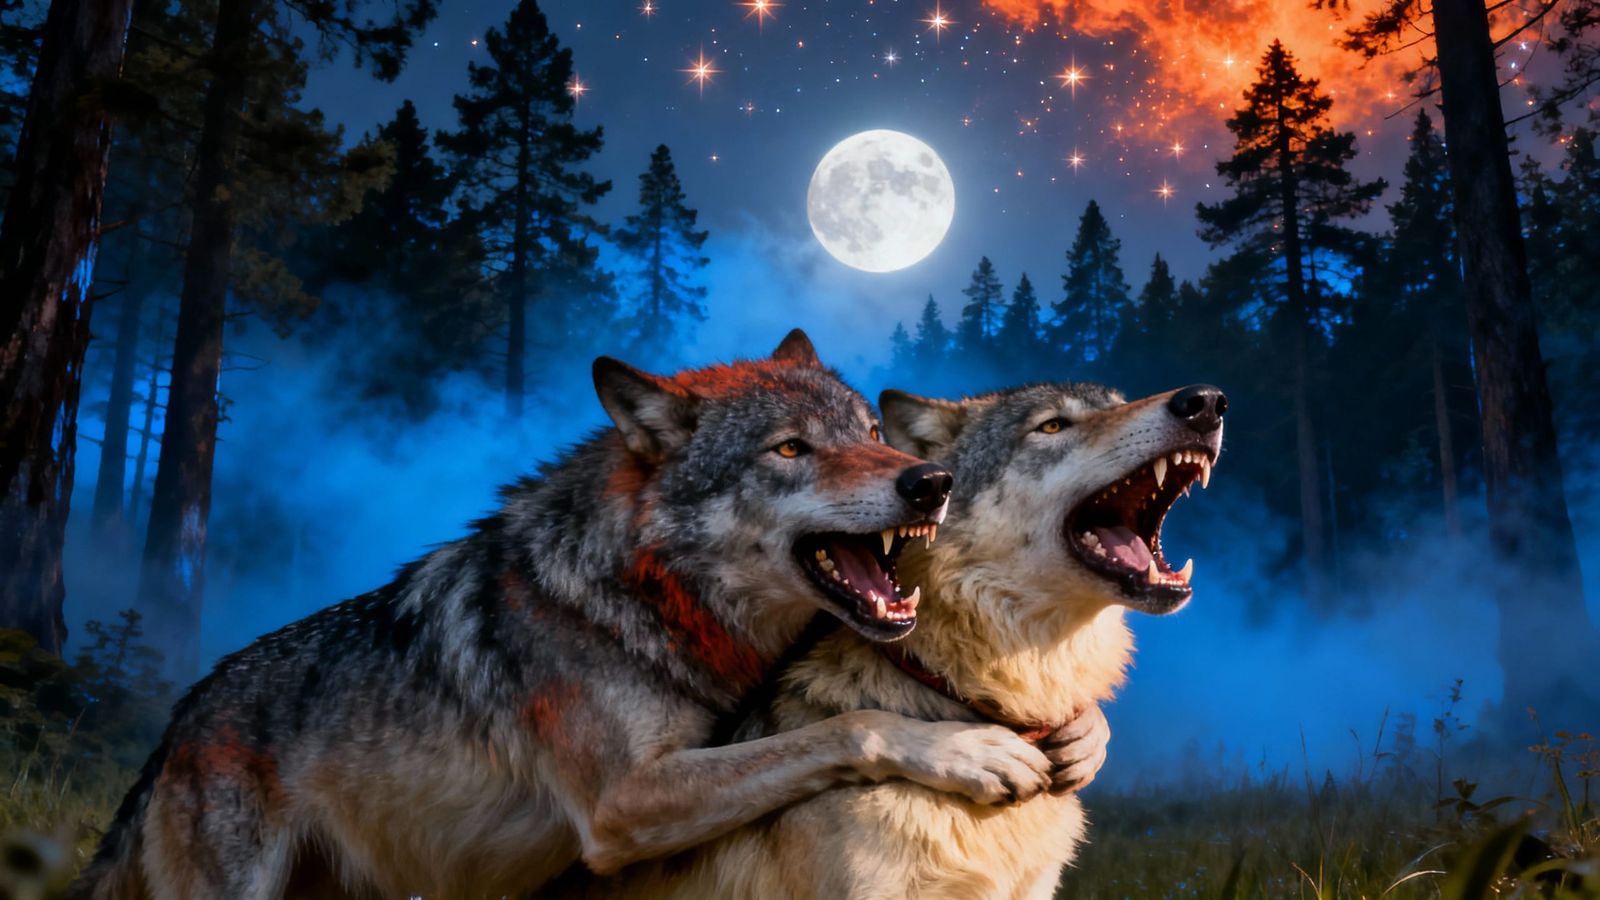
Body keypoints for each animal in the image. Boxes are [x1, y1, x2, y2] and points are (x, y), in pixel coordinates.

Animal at [71, 331, 1063, 900]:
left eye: (871, 433)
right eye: (790, 451)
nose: (931, 482)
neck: (647, 595)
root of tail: (180, 719)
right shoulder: (619, 809)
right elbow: (848, 726)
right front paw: (971, 752)